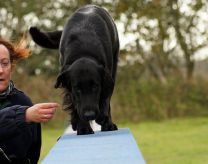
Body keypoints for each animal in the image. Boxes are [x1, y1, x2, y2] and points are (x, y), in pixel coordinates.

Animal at [29, 4, 118, 135]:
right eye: (77, 89)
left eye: (95, 87)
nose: (89, 115)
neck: (83, 51)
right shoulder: (69, 85)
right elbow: (75, 104)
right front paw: (83, 127)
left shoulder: (107, 75)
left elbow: (105, 98)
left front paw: (104, 120)